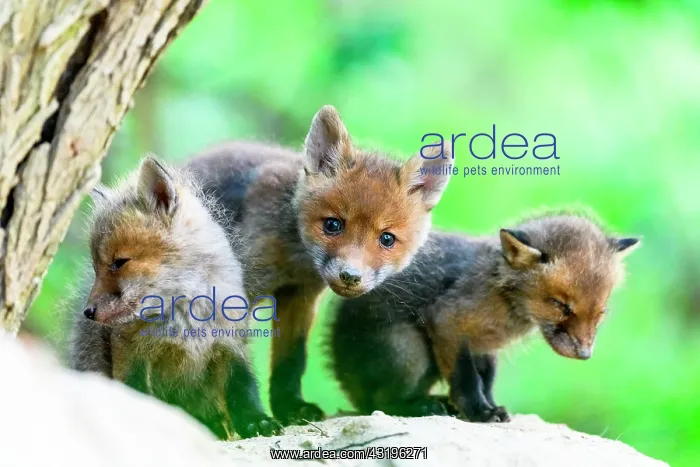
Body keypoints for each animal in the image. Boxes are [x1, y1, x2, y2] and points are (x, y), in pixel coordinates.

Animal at [69, 157, 281, 439]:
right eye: (96, 268)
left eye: (119, 263)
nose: (88, 312)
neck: (183, 316)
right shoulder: (130, 351)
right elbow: (136, 393)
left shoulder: (229, 344)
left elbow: (244, 390)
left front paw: (257, 421)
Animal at [185, 105, 450, 425]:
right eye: (333, 225)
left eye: (387, 239)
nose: (350, 276)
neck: (294, 258)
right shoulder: (230, 298)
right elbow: (236, 366)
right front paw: (251, 418)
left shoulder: (299, 297)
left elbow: (291, 362)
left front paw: (290, 407)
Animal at [327, 214, 639, 422]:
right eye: (561, 305)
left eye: (601, 312)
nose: (585, 354)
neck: (504, 298)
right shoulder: (448, 321)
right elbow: (467, 379)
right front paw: (479, 412)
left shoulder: (483, 345)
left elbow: (486, 381)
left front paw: (490, 406)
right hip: (411, 352)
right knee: (378, 405)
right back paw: (420, 407)